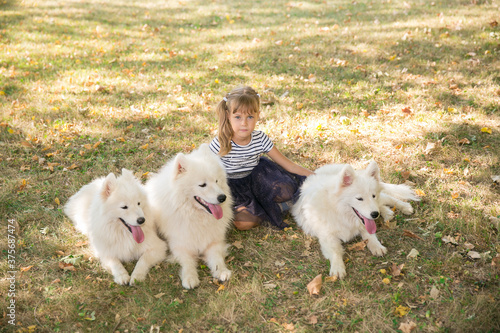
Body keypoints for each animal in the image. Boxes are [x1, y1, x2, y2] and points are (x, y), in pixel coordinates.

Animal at [146, 143, 234, 288]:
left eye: (216, 181)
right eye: (202, 185)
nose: (222, 197)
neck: (196, 216)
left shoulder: (214, 241)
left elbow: (216, 257)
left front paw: (221, 271)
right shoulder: (180, 245)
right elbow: (187, 261)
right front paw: (190, 277)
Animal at [292, 161, 420, 278]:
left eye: (373, 196)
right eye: (359, 199)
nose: (375, 214)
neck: (340, 211)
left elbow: (370, 236)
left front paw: (377, 246)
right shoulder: (327, 236)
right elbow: (335, 251)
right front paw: (338, 267)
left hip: (380, 199)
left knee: (387, 198)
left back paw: (404, 207)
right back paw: (387, 213)